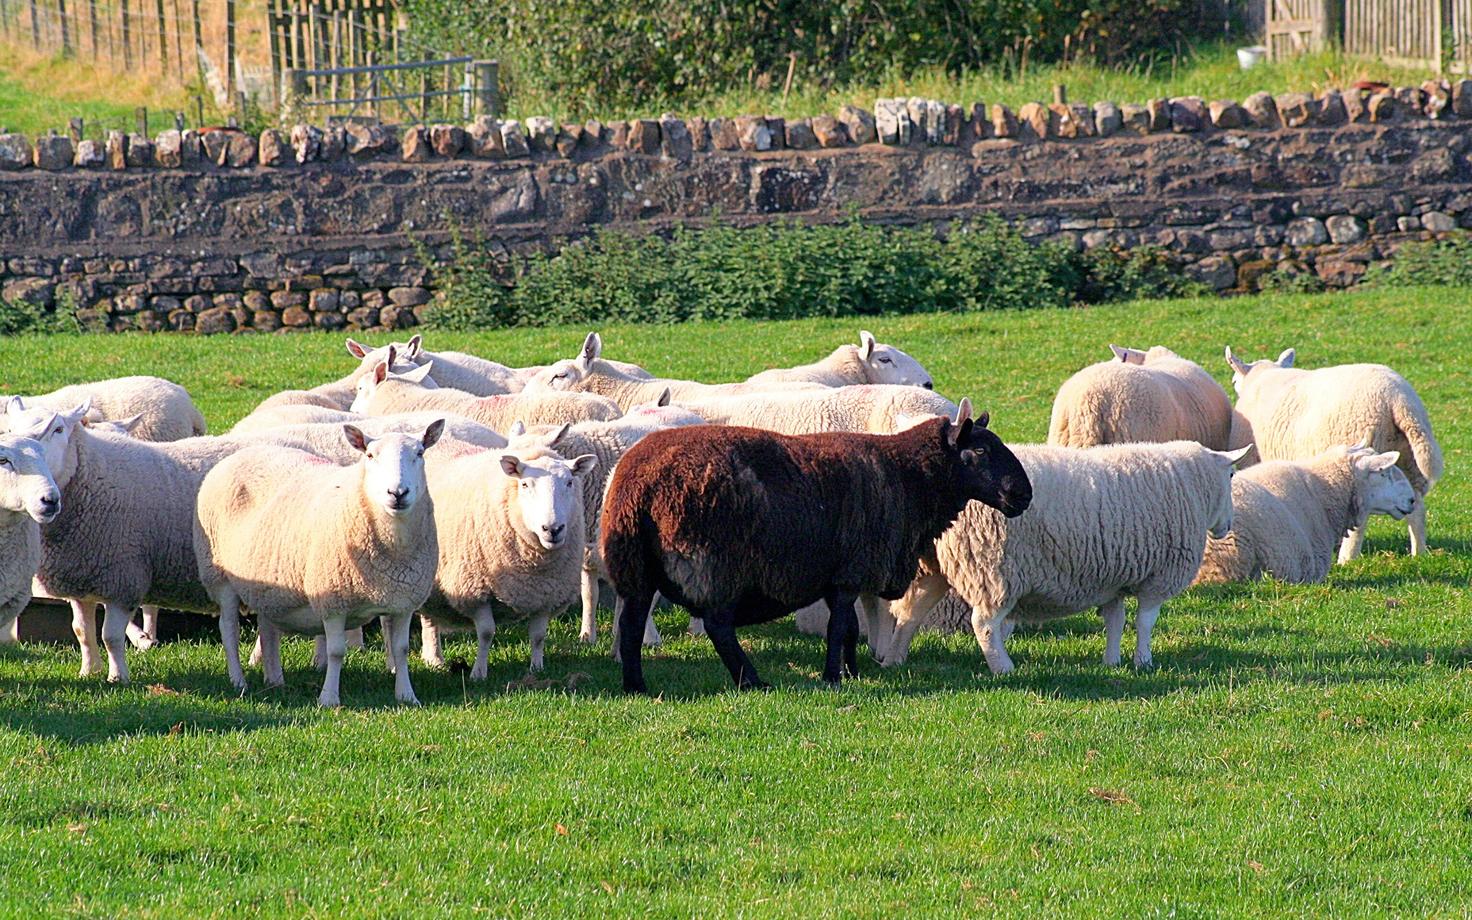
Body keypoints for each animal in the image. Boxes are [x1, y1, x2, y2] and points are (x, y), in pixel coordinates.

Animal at [195, 422, 445, 706]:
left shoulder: (403, 601)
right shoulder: (332, 600)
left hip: (268, 581)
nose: (398, 493)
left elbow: (401, 650)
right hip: (219, 575)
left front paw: (407, 696)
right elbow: (336, 651)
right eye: (370, 455)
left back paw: (275, 679)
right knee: (229, 630)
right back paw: (239, 681)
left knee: (267, 629)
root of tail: (239, 454)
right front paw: (329, 698)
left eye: (420, 453)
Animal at [417, 442, 598, 679]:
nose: (553, 529)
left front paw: (537, 668)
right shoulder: (475, 591)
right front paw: (478, 673)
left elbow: (539, 635)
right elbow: (486, 633)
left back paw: (433, 659)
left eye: (569, 482)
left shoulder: (545, 594)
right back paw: (429, 660)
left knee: (429, 617)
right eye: (524, 484)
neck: (534, 566)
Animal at [600, 402, 1033, 693]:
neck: (907, 476)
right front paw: (832, 677)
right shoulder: (849, 573)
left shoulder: (837, 575)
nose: (1023, 495)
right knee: (718, 627)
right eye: (980, 452)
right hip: (711, 562)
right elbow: (838, 627)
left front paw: (853, 671)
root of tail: (638, 485)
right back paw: (752, 680)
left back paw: (636, 685)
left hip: (635, 568)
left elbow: (851, 628)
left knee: (631, 624)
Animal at [877, 441, 1250, 674]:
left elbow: (1116, 620)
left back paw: (895, 659)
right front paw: (1143, 661)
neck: (1191, 487)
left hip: (932, 565)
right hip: (990, 567)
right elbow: (1146, 622)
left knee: (910, 615)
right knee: (984, 624)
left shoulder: (1112, 579)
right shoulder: (1158, 577)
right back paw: (1003, 667)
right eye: (1231, 475)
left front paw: (1112, 661)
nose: (1227, 527)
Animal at [1225, 346, 1443, 559]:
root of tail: (1398, 399)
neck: (1263, 376)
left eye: (1233, 381)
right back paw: (1418, 554)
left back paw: (1346, 559)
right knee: (1416, 507)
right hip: (1409, 460)